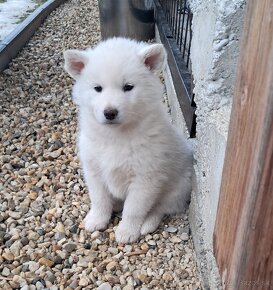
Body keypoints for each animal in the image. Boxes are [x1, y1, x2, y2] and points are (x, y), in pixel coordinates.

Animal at [63, 37, 191, 244]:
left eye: (128, 87)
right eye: (97, 88)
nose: (110, 112)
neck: (116, 136)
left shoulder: (145, 178)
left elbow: (134, 208)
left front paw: (127, 231)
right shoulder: (94, 170)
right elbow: (99, 199)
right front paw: (97, 219)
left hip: (178, 187)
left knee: (160, 208)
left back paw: (147, 224)